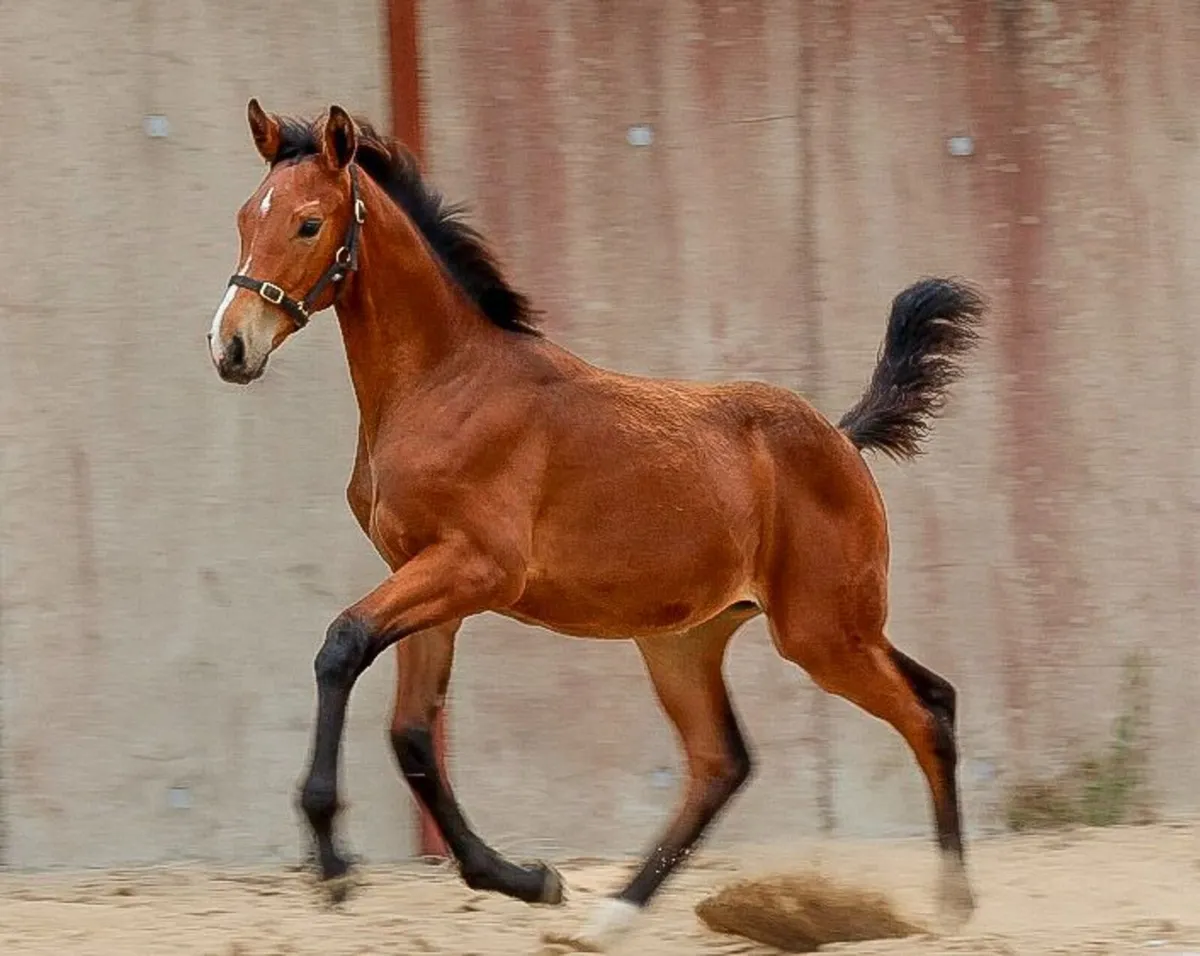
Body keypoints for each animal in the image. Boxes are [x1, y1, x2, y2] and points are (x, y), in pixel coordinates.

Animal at [205, 99, 985, 951]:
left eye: (309, 224)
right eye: (245, 216)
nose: (231, 345)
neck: (445, 384)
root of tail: (843, 440)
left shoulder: (474, 570)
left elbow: (342, 646)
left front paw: (333, 863)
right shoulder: (425, 578)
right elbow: (411, 733)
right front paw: (528, 880)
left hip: (821, 632)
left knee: (922, 712)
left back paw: (952, 901)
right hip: (690, 639)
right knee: (732, 758)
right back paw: (610, 916)